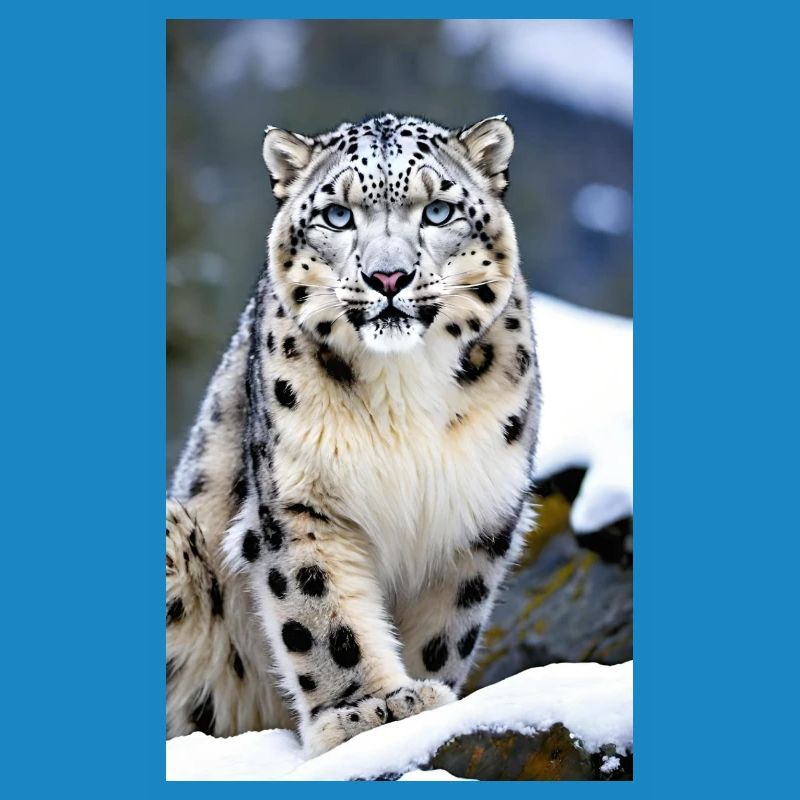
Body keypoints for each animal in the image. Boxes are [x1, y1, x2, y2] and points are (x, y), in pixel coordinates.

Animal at [166, 113, 541, 757]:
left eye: (438, 210)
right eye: (337, 215)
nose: (388, 276)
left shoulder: (473, 511)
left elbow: (445, 628)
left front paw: (420, 697)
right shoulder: (300, 500)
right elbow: (321, 611)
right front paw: (368, 710)